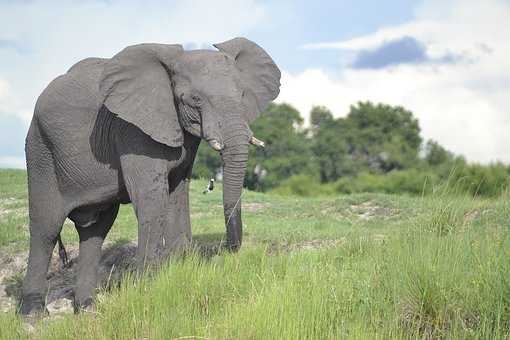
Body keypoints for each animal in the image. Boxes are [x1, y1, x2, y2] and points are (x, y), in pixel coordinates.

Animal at [19, 37, 280, 316]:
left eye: (242, 95)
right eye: (195, 99)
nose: (230, 250)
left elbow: (177, 193)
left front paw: (178, 271)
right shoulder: (133, 130)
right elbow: (152, 200)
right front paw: (147, 288)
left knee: (95, 231)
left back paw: (88, 308)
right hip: (40, 149)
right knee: (46, 227)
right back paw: (33, 314)